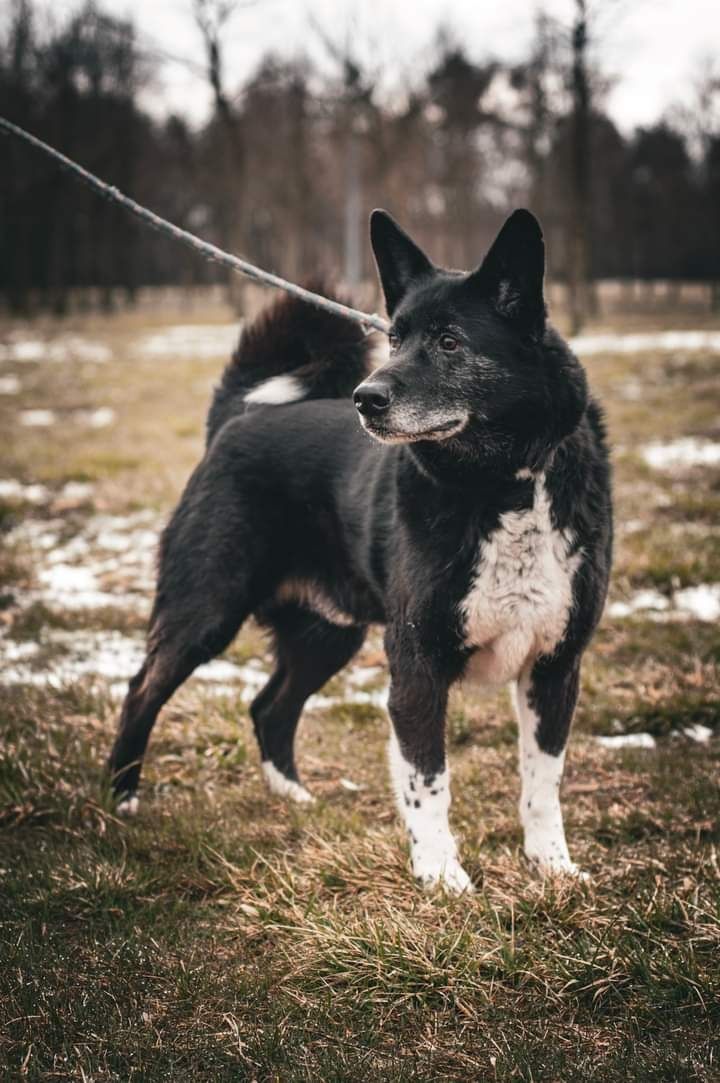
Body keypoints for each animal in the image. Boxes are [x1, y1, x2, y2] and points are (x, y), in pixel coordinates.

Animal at [109, 204, 610, 888]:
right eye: (394, 339)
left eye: (450, 342)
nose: (365, 399)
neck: (503, 484)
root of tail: (237, 417)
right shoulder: (417, 664)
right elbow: (429, 781)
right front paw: (442, 879)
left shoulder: (555, 667)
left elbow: (542, 784)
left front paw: (553, 868)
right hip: (206, 610)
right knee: (142, 689)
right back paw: (121, 801)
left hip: (327, 633)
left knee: (268, 707)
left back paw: (292, 796)